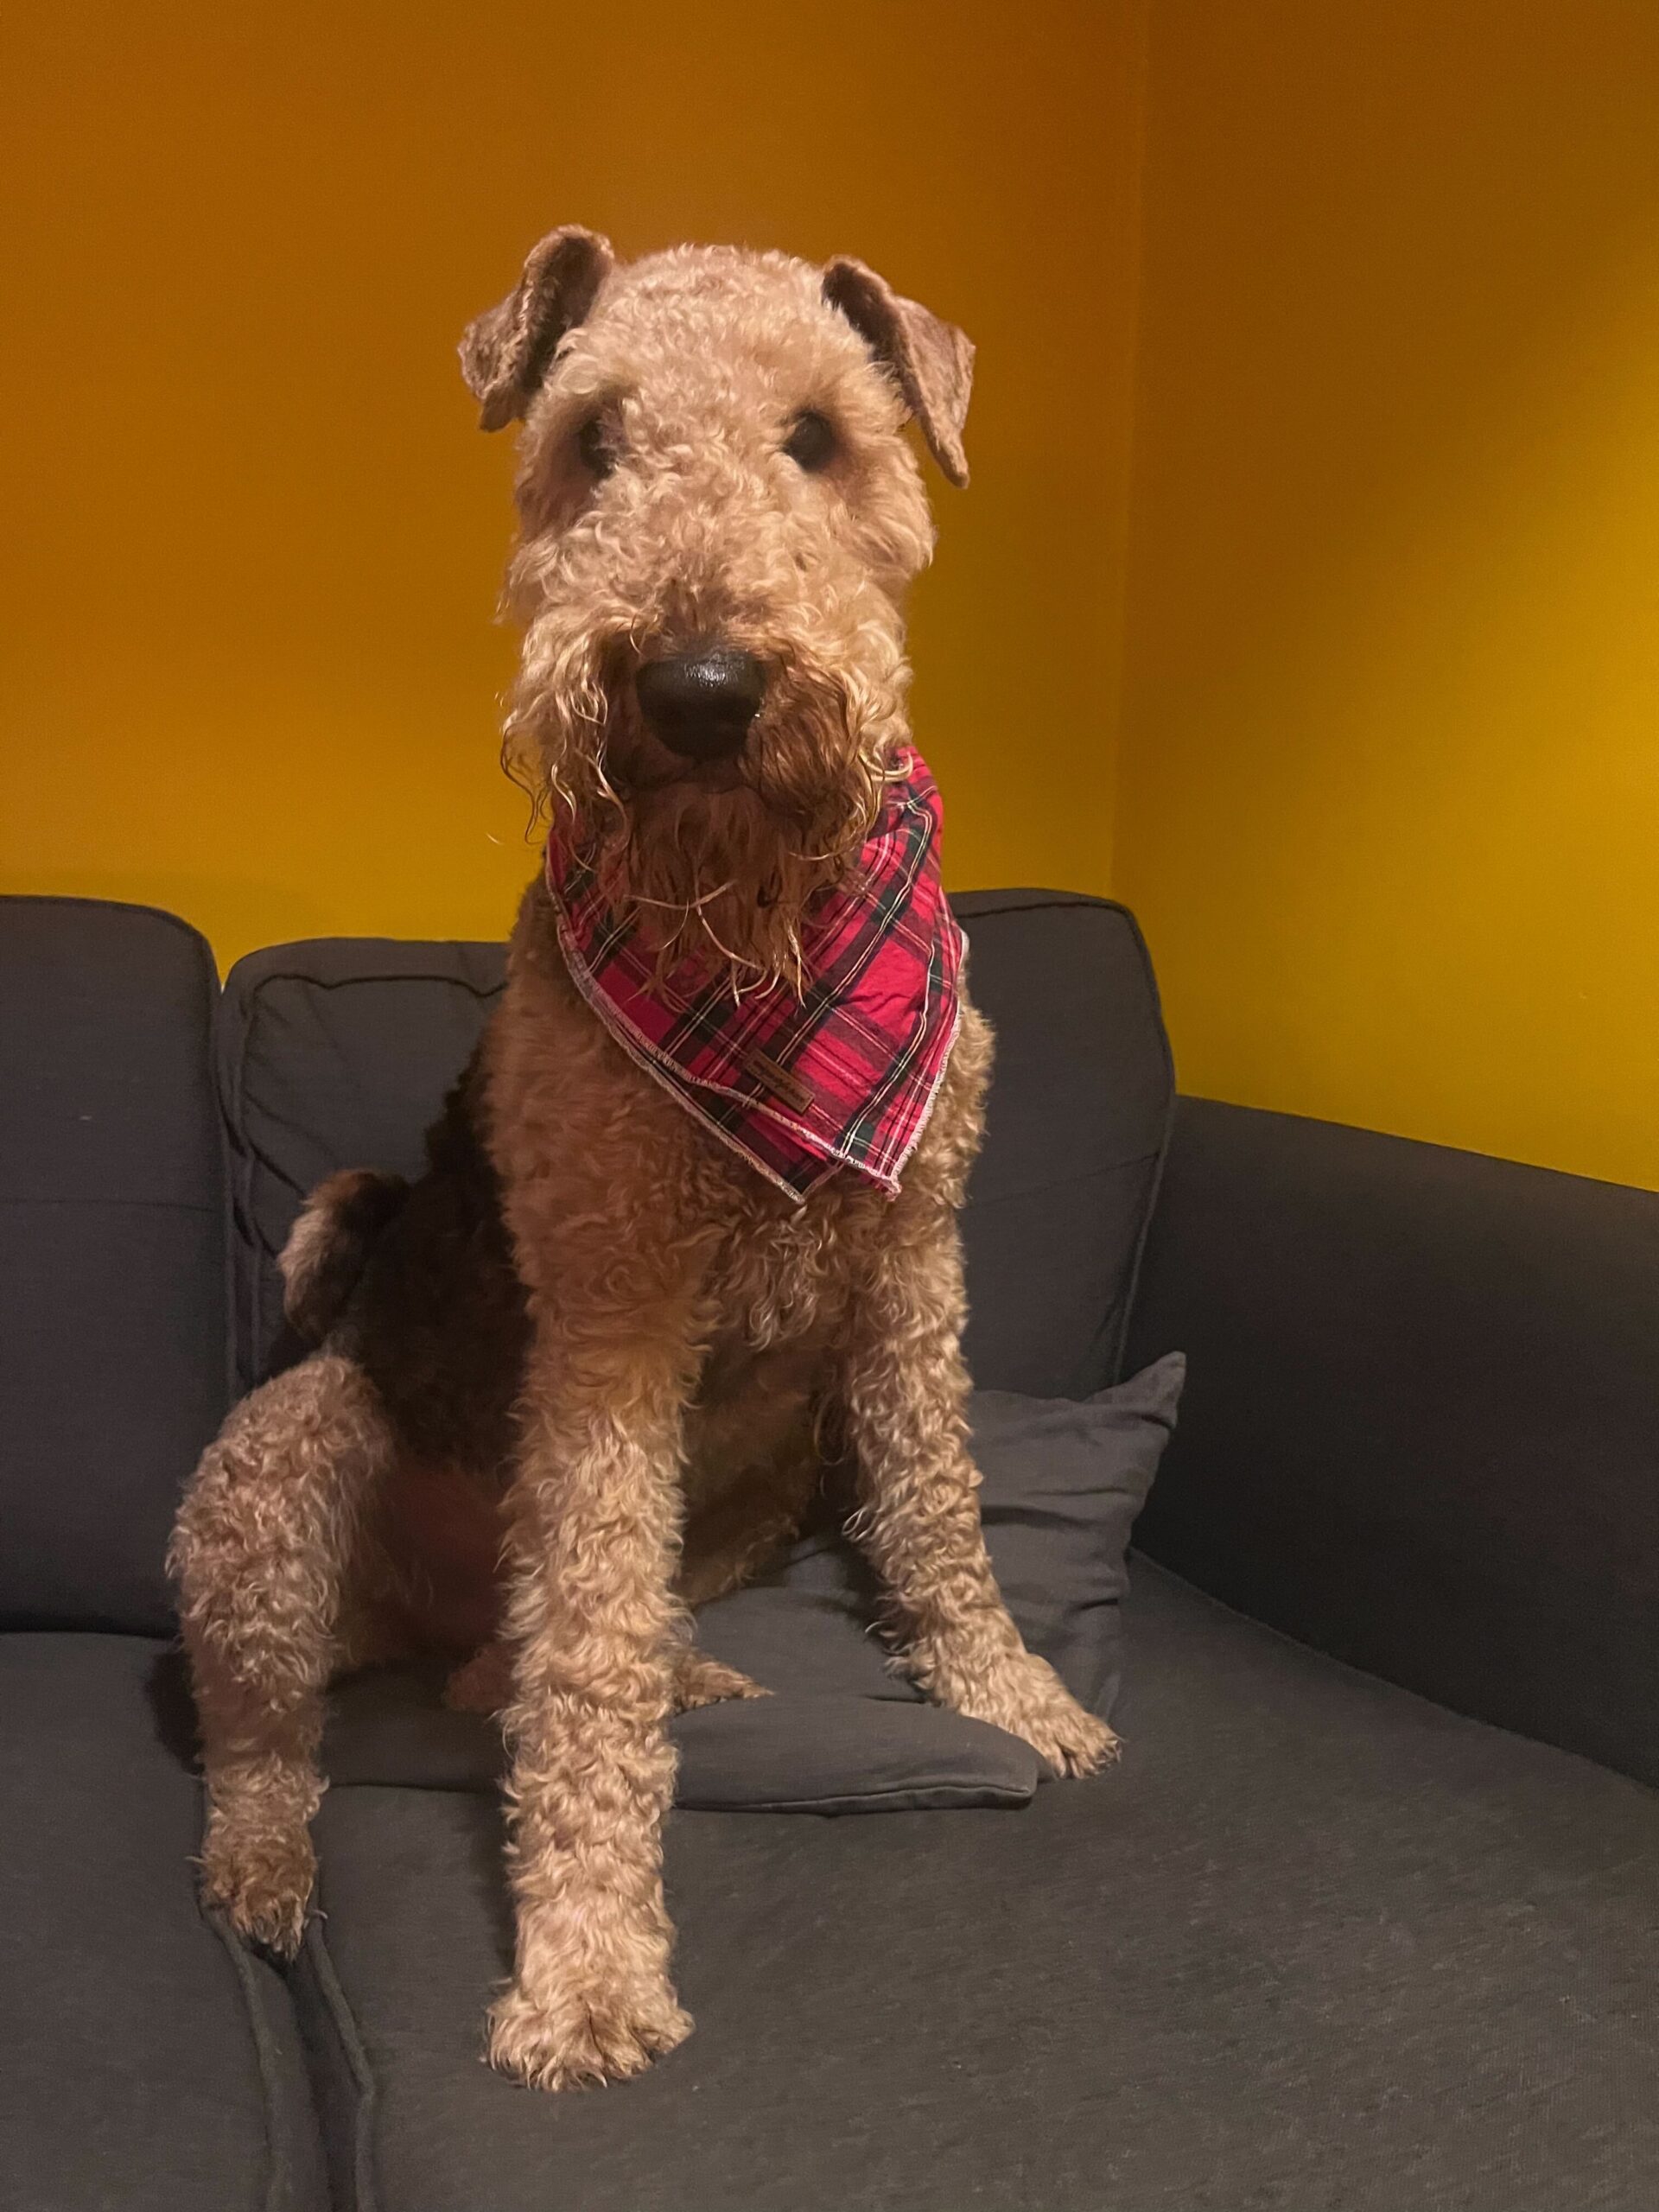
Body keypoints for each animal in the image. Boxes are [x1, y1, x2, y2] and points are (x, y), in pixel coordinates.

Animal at [168, 228, 1116, 2093]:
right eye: (591, 440)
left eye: (818, 437)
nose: (697, 690)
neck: (760, 951)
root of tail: (435, 1622)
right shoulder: (609, 1318)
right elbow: (584, 1668)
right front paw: (591, 1975)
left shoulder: (917, 1261)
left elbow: (942, 1513)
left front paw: (1012, 1696)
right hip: (276, 1475)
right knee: (300, 1733)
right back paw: (266, 1875)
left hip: (767, 1463)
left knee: (525, 1666)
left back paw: (687, 1680)